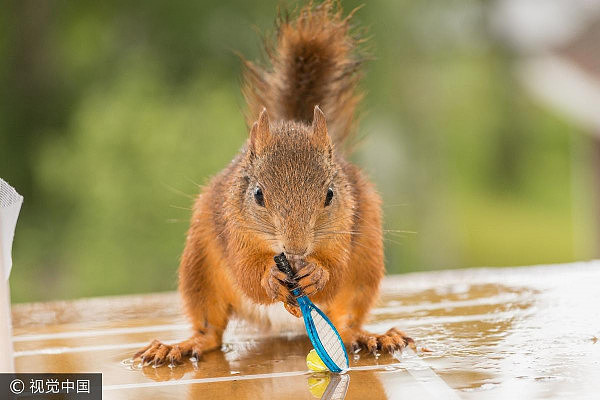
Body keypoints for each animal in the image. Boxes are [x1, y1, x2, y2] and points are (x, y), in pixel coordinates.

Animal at [134, 0, 412, 366]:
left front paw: (318, 273)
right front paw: (270, 276)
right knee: (210, 330)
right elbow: (246, 273)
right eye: (258, 195)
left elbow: (335, 269)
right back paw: (180, 346)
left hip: (365, 265)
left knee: (347, 320)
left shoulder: (345, 225)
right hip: (198, 268)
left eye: (329, 194)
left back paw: (370, 336)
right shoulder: (233, 228)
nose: (296, 248)